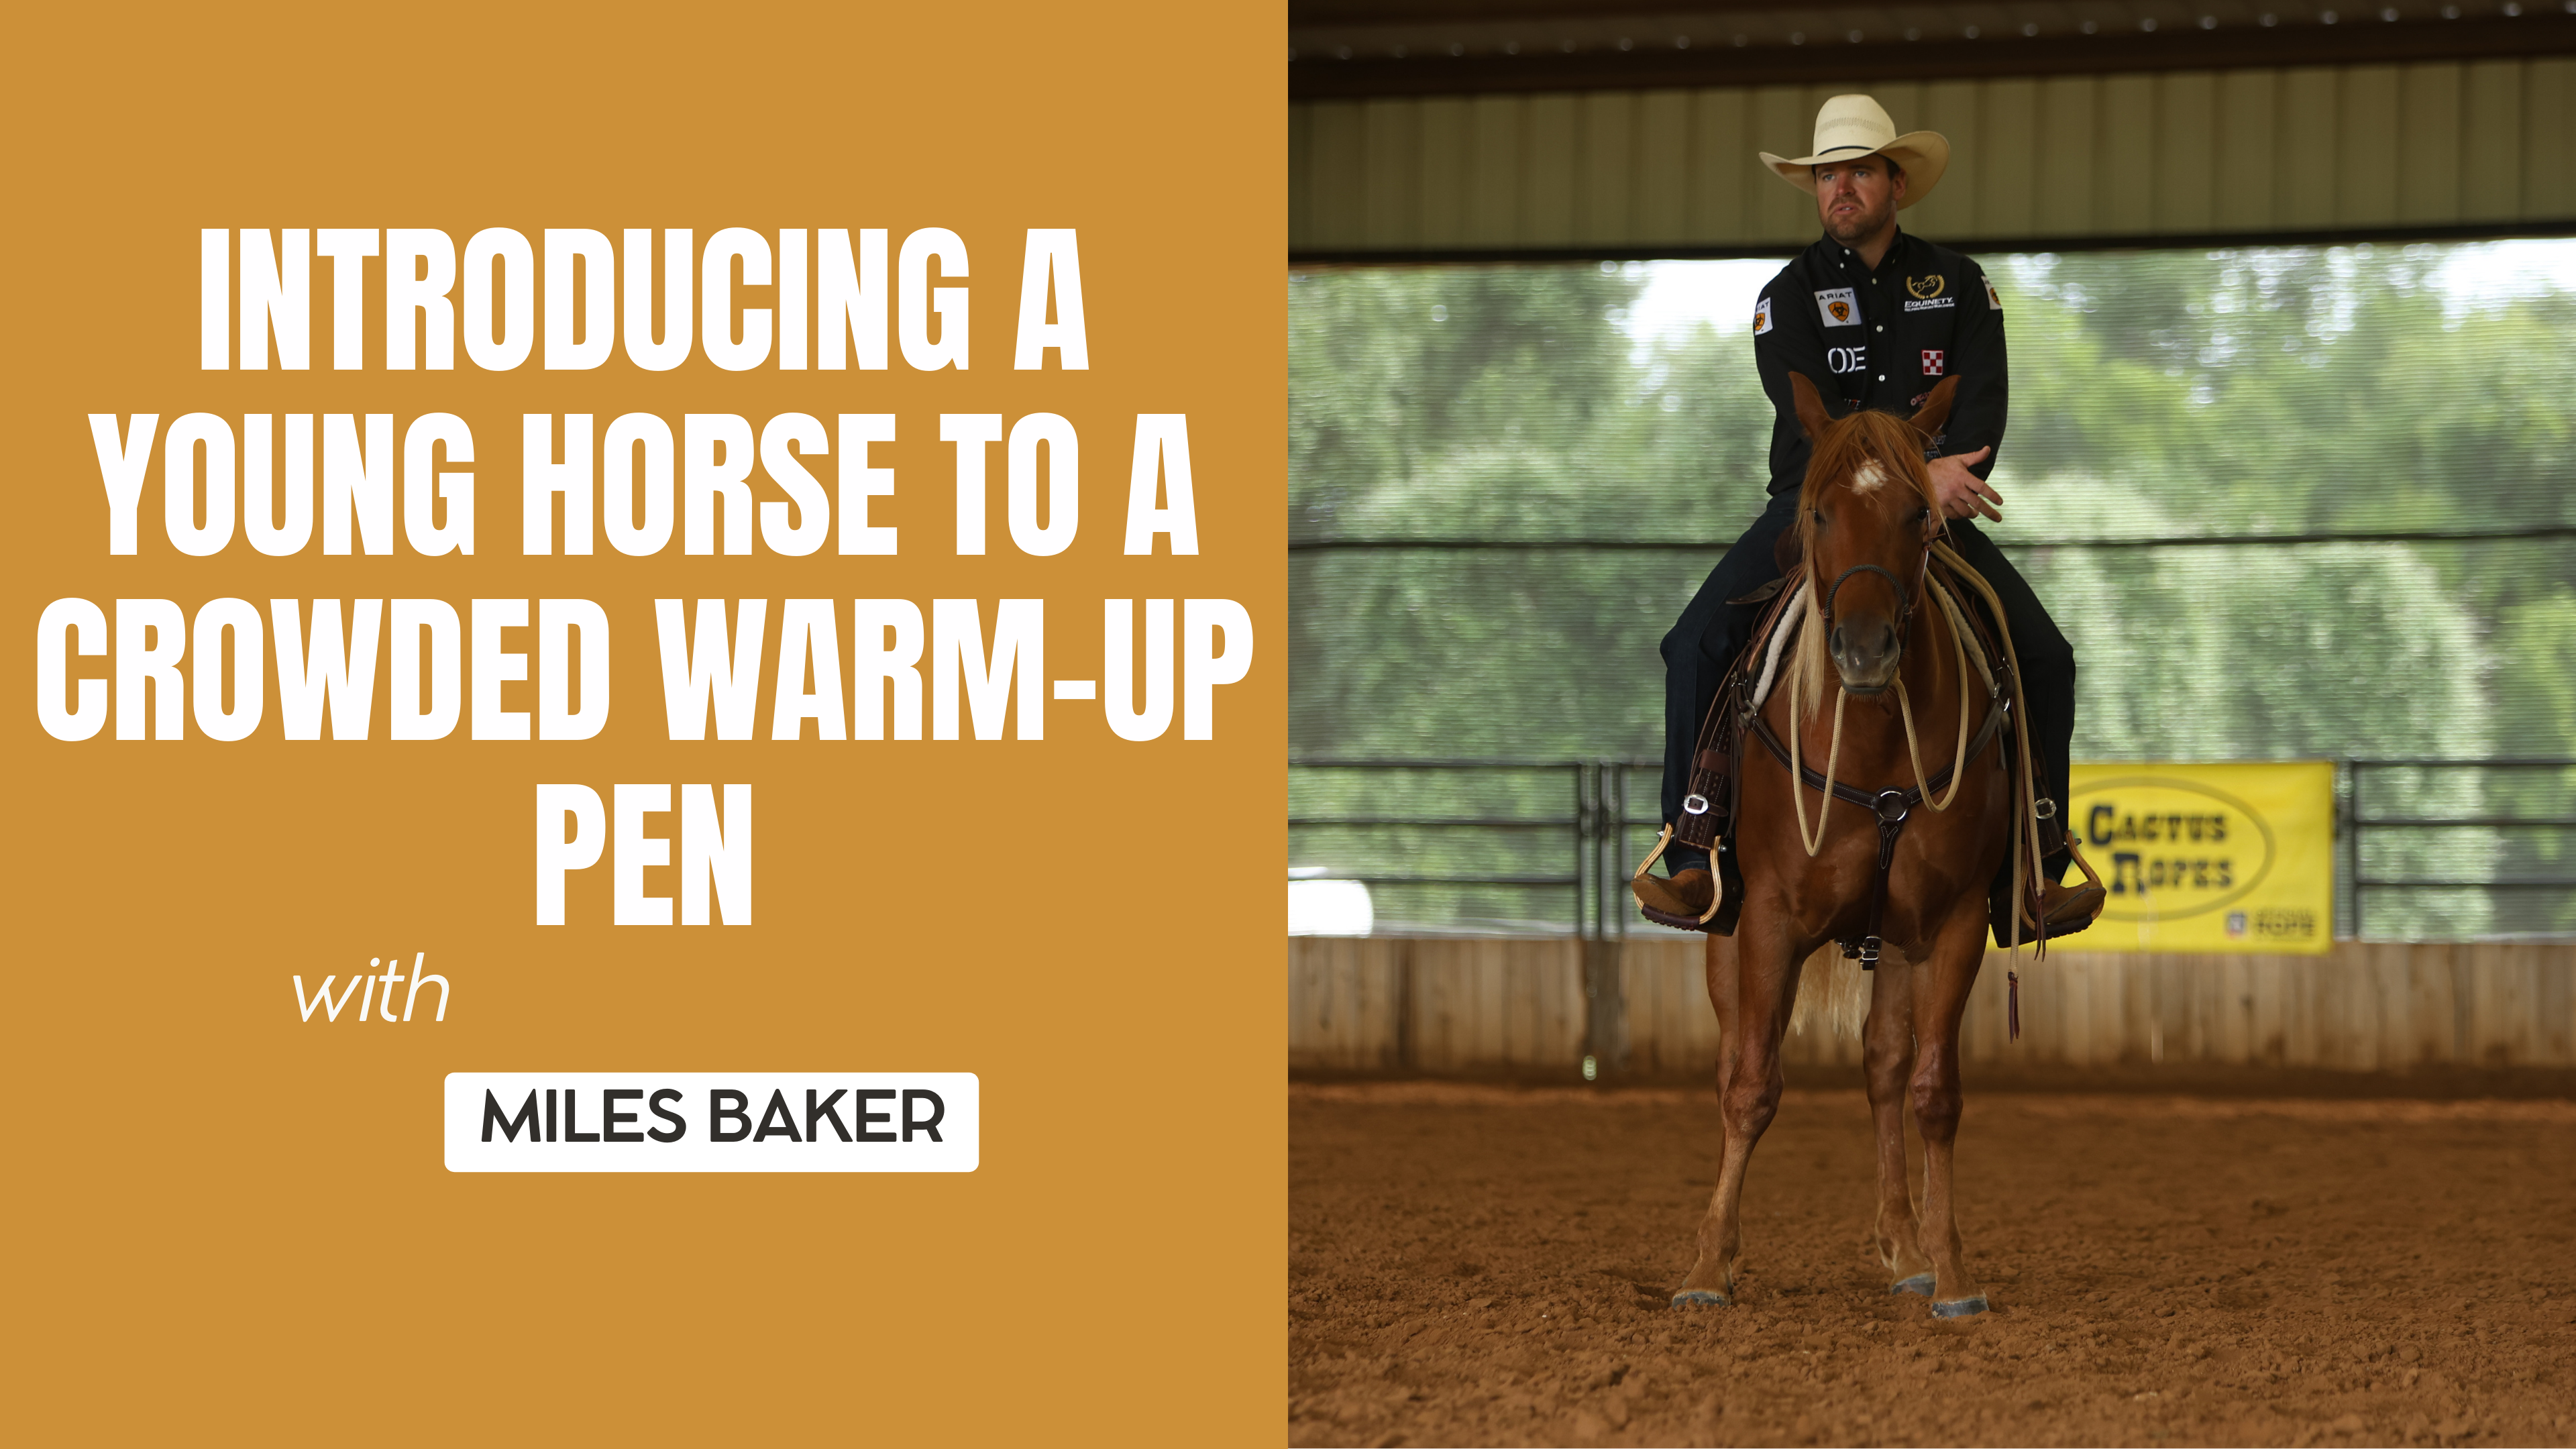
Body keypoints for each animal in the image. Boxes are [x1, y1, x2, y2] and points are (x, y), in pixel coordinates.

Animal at [1670, 372, 2035, 1320]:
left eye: (1919, 514)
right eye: (1820, 512)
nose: (1866, 650)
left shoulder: (1952, 924)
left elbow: (1932, 1092)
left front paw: (1952, 1272)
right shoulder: (1767, 920)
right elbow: (1753, 1086)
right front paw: (1707, 1269)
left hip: (1896, 941)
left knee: (1884, 1068)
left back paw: (1905, 1249)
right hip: (1724, 935)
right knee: (1734, 1063)